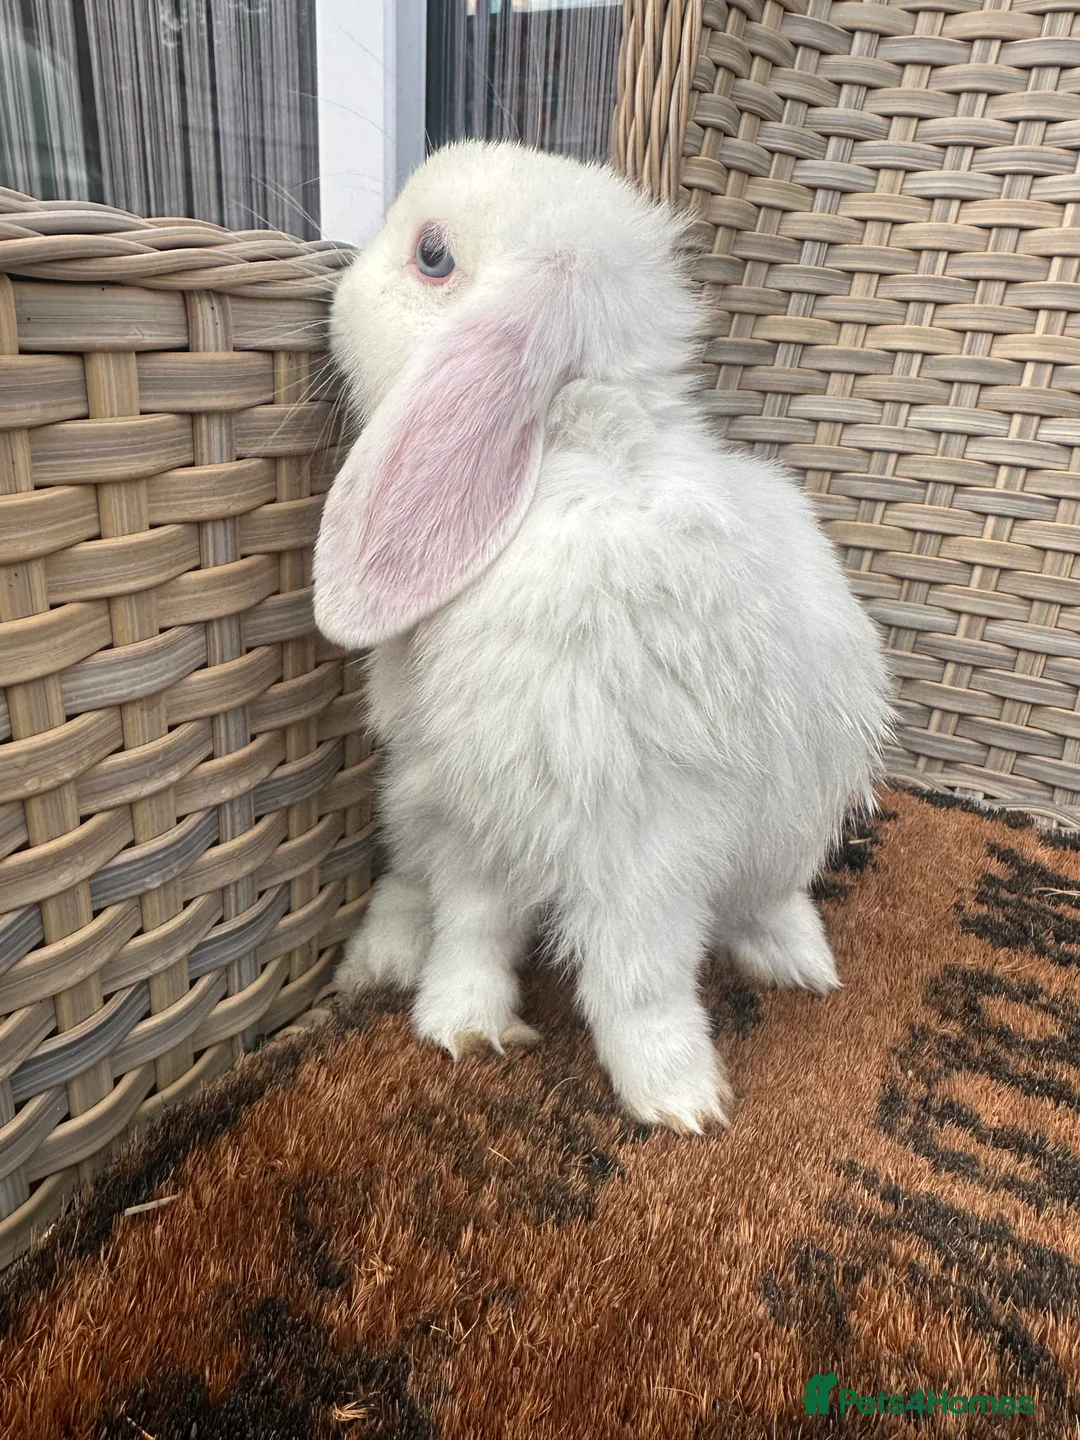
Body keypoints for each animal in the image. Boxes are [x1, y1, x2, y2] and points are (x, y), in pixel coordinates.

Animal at [313, 139, 893, 1133]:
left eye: (433, 255)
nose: (339, 285)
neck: (568, 448)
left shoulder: (566, 816)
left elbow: (558, 952)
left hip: (695, 839)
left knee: (694, 943)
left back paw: (739, 1033)